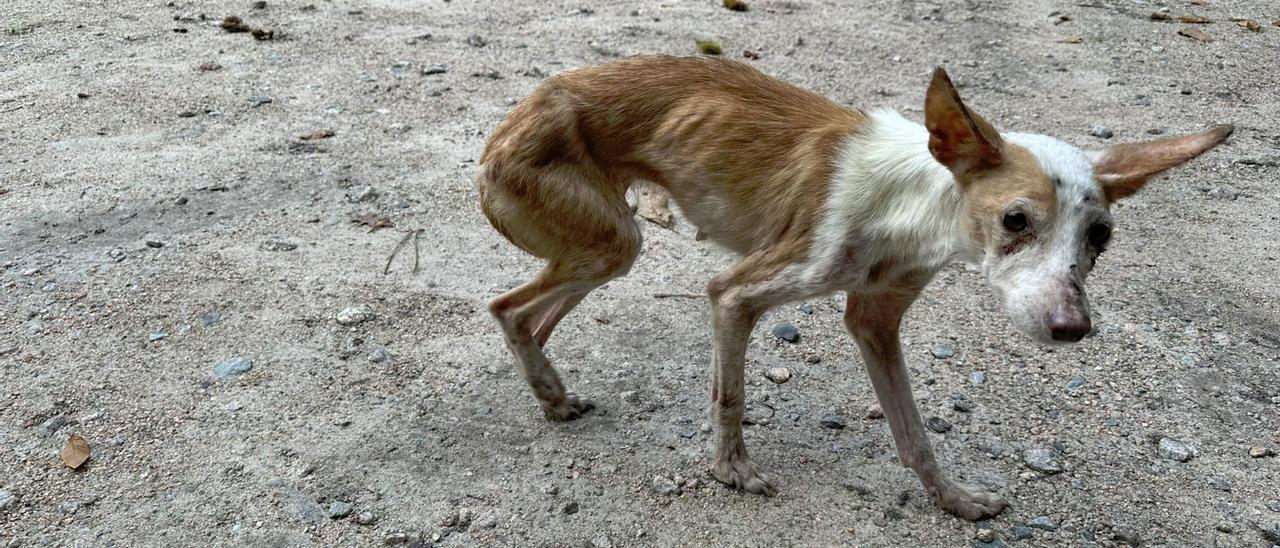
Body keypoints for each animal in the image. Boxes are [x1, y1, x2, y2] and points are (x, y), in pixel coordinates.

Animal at [476, 54, 1233, 517]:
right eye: (1016, 220)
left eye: (1100, 236)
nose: (1072, 329)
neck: (915, 208)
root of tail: (520, 111)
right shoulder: (734, 293)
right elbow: (730, 397)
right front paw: (732, 473)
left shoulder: (875, 323)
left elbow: (915, 434)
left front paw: (954, 499)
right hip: (612, 243)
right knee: (506, 306)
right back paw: (546, 385)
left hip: (601, 249)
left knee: (530, 318)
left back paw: (553, 395)